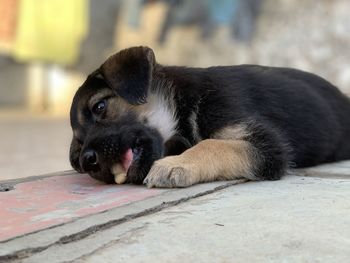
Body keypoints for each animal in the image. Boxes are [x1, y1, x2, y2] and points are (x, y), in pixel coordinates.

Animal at [68, 46, 350, 189]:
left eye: (100, 107)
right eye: (79, 144)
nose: (87, 161)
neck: (184, 100)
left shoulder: (267, 145)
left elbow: (212, 144)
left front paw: (177, 164)